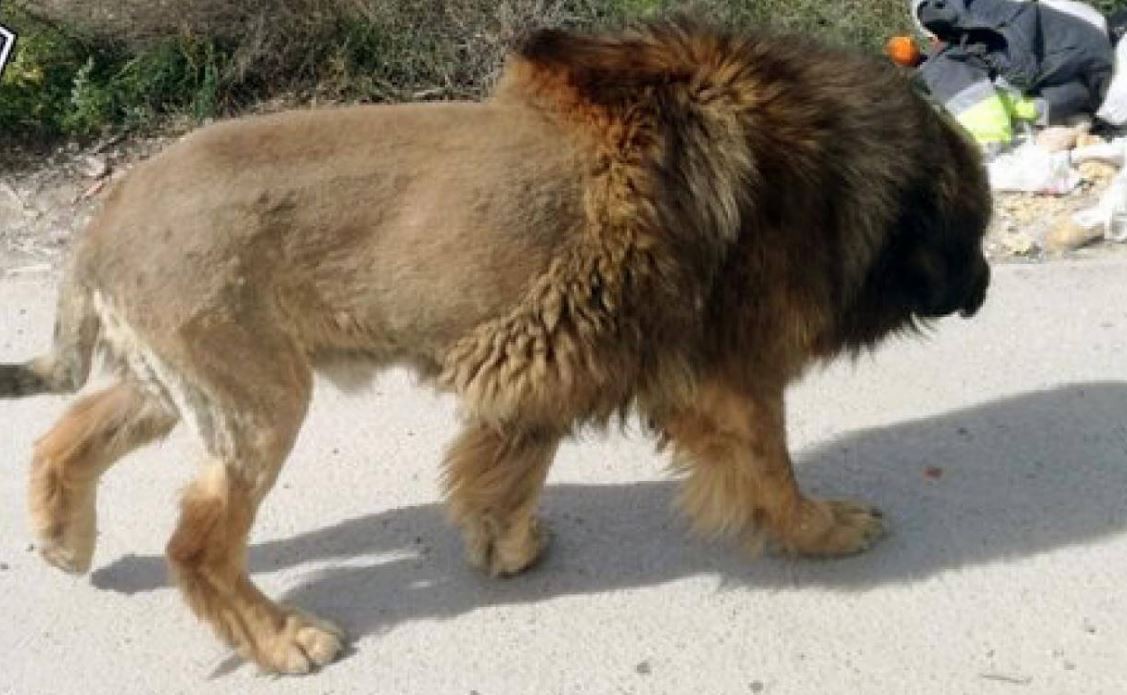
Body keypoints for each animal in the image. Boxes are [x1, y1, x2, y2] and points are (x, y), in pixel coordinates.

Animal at [0, 19, 990, 673]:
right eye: (977, 226)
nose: (983, 288)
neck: (818, 163)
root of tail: (105, 218)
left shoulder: (557, 357)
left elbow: (509, 465)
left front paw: (501, 545)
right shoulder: (725, 375)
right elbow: (772, 474)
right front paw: (825, 530)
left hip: (183, 387)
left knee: (63, 438)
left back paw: (62, 541)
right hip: (258, 400)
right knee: (196, 546)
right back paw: (284, 639)